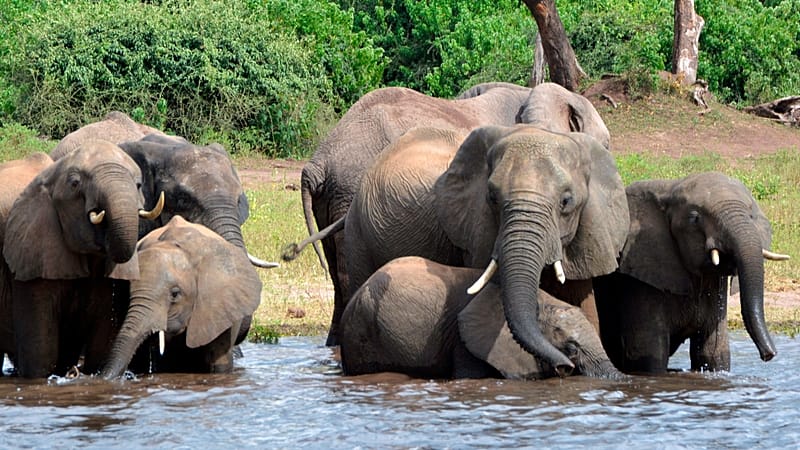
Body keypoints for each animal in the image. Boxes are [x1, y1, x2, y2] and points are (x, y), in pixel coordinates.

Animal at [593, 172, 790, 374]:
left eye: (751, 216)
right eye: (694, 218)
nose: (768, 355)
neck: (670, 188)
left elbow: (713, 353)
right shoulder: (639, 278)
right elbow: (649, 357)